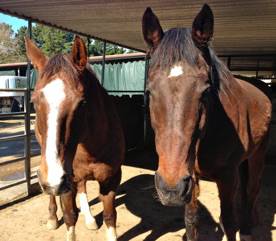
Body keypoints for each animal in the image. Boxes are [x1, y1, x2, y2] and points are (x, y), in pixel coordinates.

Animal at [24, 35, 124, 241]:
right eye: (33, 102)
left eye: (82, 102)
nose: (54, 178)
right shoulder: (65, 183)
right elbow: (70, 217)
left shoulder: (111, 179)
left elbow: (110, 216)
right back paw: (53, 218)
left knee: (83, 187)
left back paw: (90, 219)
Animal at [142, 3, 272, 241]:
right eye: (149, 91)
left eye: (205, 91)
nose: (170, 189)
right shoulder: (190, 179)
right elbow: (191, 221)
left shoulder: (227, 177)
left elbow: (229, 223)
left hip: (258, 155)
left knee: (251, 191)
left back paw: (247, 230)